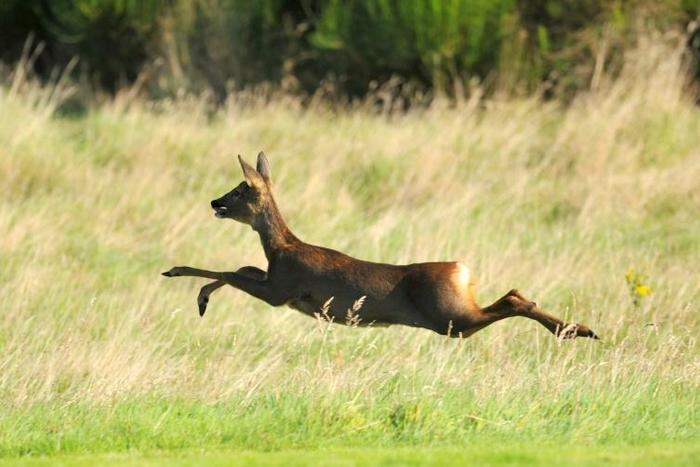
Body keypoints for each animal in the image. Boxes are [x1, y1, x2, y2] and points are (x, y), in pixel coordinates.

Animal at [162, 152, 599, 340]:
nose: (214, 202)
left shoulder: (281, 289)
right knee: (516, 293)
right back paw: (579, 330)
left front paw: (180, 276)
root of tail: (462, 269)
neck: (281, 248)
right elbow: (240, 268)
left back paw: (578, 331)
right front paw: (201, 298)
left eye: (240, 189)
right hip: (455, 315)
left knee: (510, 300)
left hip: (450, 317)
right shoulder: (274, 280)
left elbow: (231, 270)